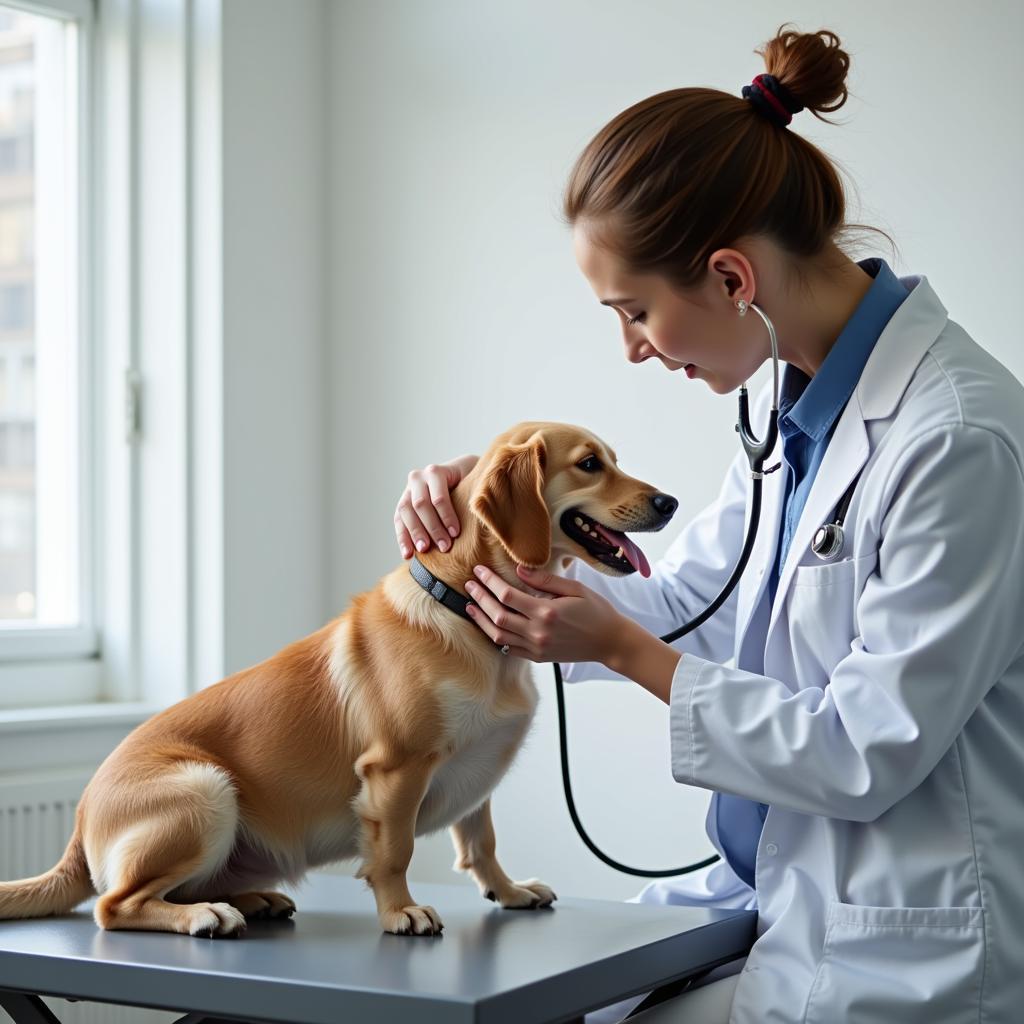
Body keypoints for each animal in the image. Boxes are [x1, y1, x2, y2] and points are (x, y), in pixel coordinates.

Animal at [0, 417, 675, 937]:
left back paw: (250, 899)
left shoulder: (477, 773)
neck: (463, 611)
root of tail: (79, 824)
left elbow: (481, 843)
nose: (669, 503)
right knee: (116, 905)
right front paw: (401, 912)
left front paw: (508, 891)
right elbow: (396, 852)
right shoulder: (397, 769)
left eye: (612, 459)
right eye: (589, 464)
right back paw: (207, 916)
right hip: (205, 791)